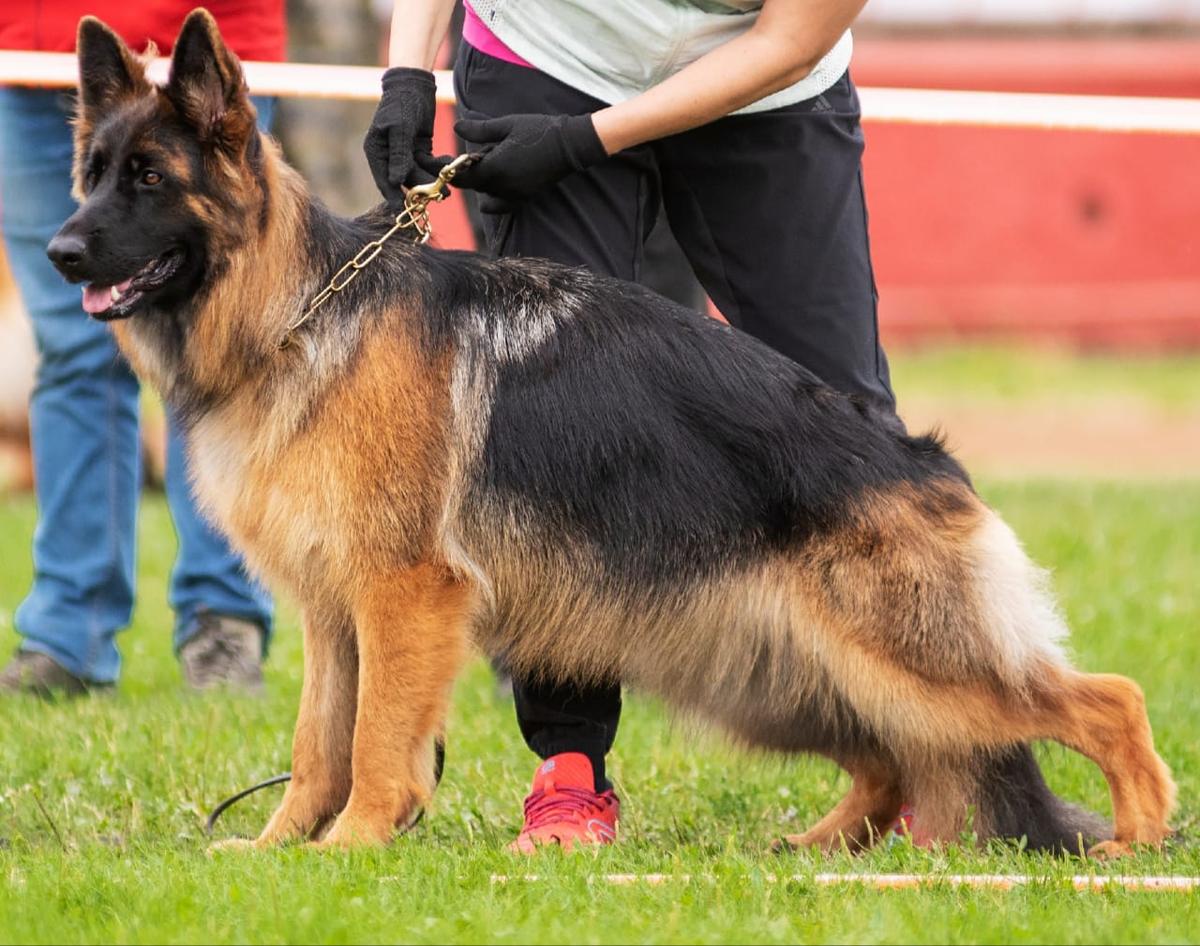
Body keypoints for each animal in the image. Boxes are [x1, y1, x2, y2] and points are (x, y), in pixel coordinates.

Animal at [51, 9, 1176, 859]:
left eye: (149, 179)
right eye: (93, 172)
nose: (58, 251)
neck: (299, 311)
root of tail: (925, 462)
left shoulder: (402, 599)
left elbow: (373, 743)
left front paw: (354, 844)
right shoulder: (336, 613)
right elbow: (317, 743)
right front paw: (280, 847)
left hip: (907, 663)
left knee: (1107, 700)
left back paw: (1135, 845)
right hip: (796, 679)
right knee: (893, 758)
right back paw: (820, 847)